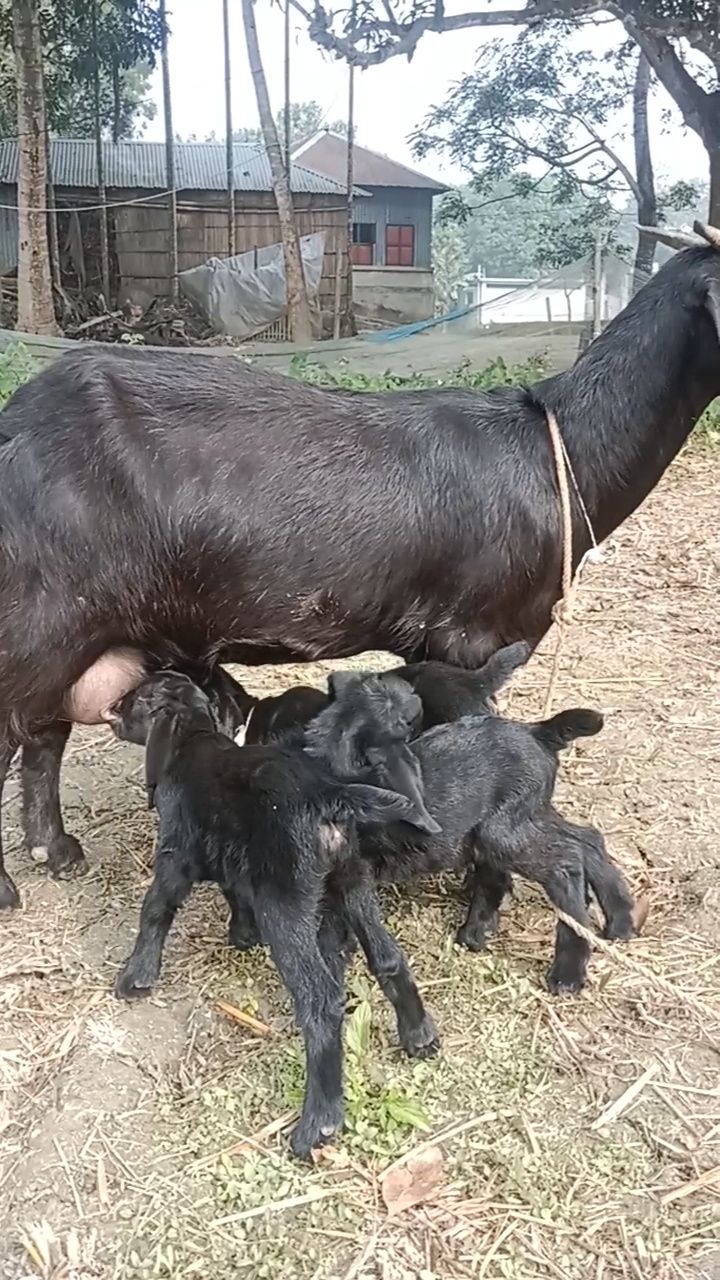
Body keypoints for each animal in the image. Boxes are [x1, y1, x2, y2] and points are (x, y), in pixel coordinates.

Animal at [3, 223, 719, 910]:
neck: (558, 451)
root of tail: (17, 427)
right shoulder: (470, 641)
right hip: (37, 622)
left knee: (43, 733)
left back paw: (54, 850)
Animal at [111, 671, 440, 1159]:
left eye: (136, 698)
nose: (112, 708)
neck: (194, 738)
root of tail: (331, 795)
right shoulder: (230, 854)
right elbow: (233, 891)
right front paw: (241, 933)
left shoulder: (175, 855)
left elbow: (155, 909)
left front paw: (137, 974)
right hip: (352, 881)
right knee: (388, 957)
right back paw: (418, 1035)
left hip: (286, 907)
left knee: (320, 1001)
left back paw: (319, 1122)